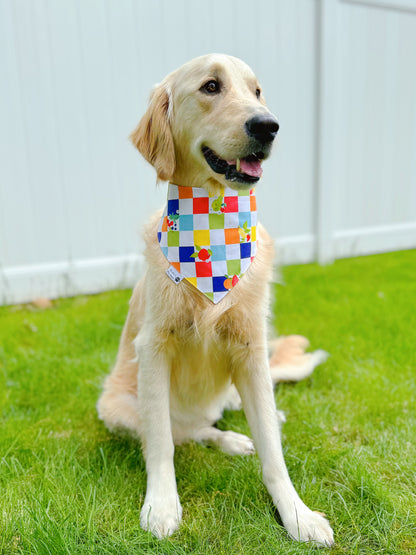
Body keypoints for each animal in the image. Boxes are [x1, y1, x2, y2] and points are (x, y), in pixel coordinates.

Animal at [97, 53, 334, 548]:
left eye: (257, 91)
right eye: (211, 86)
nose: (269, 125)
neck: (211, 228)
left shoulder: (250, 350)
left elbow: (273, 453)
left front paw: (297, 514)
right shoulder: (154, 347)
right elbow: (161, 444)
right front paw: (162, 505)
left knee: (227, 418)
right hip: (116, 408)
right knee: (189, 431)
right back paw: (227, 438)